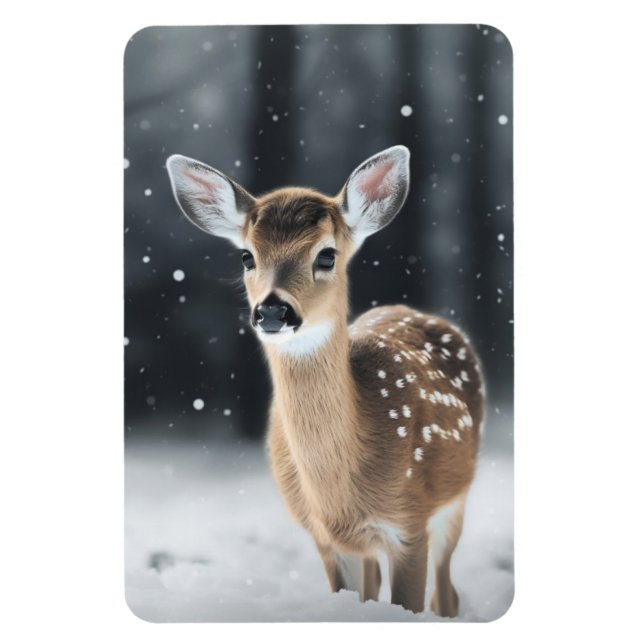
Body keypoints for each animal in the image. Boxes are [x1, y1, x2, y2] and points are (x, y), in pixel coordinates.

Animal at [166, 145, 484, 617]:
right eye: (247, 256)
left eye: (327, 255)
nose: (272, 310)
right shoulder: (325, 537)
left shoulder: (410, 523)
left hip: (455, 502)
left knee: (446, 592)